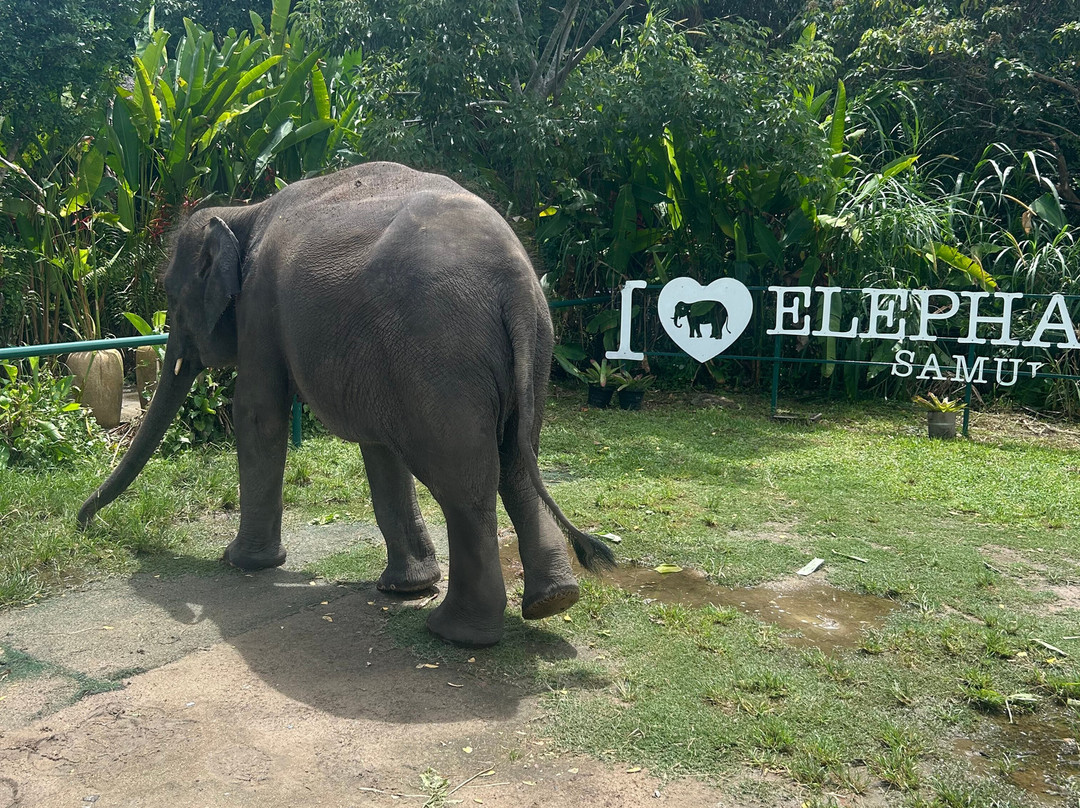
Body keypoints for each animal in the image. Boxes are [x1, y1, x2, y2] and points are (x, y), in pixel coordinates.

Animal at [77, 161, 615, 646]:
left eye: (171, 293)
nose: (84, 522)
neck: (244, 210)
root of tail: (515, 286)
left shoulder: (260, 304)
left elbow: (259, 415)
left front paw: (240, 562)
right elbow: (379, 446)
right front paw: (405, 588)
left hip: (440, 357)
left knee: (467, 486)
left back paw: (455, 633)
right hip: (529, 351)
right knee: (517, 461)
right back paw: (553, 601)